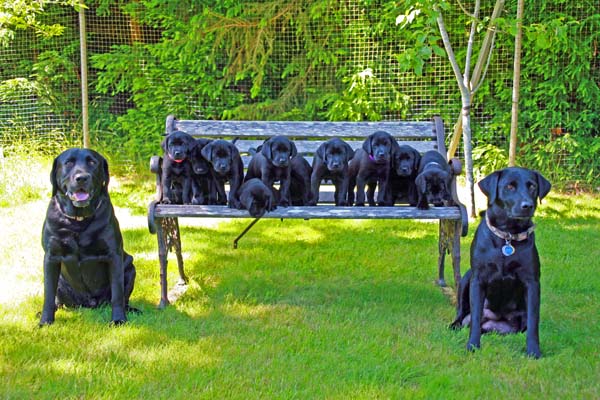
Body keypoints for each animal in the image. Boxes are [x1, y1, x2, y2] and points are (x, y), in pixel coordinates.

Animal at [39, 148, 137, 326]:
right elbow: (48, 294)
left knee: (123, 297)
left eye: (92, 162)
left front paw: (118, 319)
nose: (82, 178)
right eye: (69, 162)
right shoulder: (51, 257)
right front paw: (45, 321)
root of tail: (89, 304)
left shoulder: (114, 256)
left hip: (130, 268)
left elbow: (117, 294)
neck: (79, 221)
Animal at [450, 167, 552, 358]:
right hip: (467, 277)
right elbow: (475, 316)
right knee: (463, 312)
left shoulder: (532, 282)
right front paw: (472, 345)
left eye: (532, 186)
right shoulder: (478, 279)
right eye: (509, 186)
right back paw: (455, 325)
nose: (527, 206)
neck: (507, 237)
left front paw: (533, 350)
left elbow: (533, 321)